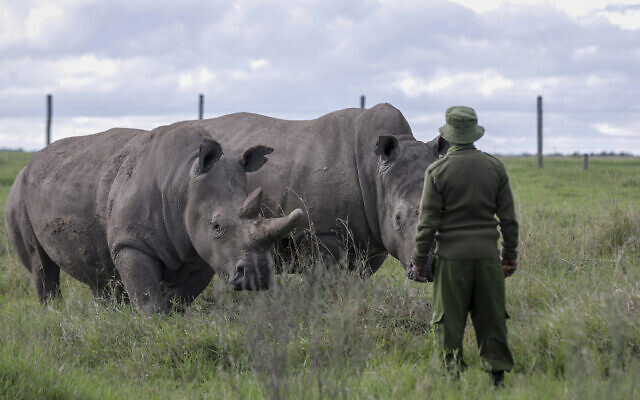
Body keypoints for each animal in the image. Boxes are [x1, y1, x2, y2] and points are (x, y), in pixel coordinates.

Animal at [5, 125, 303, 314]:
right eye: (216, 226)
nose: (258, 275)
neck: (184, 180)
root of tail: (30, 162)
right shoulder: (131, 243)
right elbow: (147, 295)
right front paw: (155, 324)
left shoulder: (201, 250)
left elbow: (181, 296)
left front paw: (171, 318)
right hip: (18, 192)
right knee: (41, 266)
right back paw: (52, 313)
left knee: (98, 268)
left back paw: (105, 316)